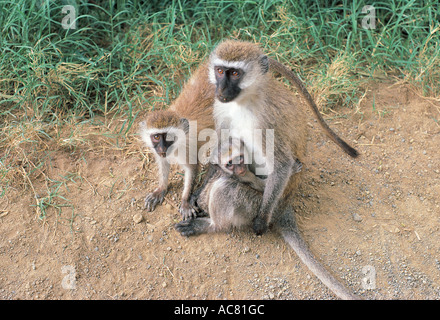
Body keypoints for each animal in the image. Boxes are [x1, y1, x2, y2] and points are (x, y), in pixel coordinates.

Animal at [209, 40, 358, 235]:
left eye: (235, 73)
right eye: (220, 71)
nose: (221, 89)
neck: (245, 101)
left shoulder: (267, 120)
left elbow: (281, 164)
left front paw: (261, 220)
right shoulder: (221, 108)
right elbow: (222, 146)